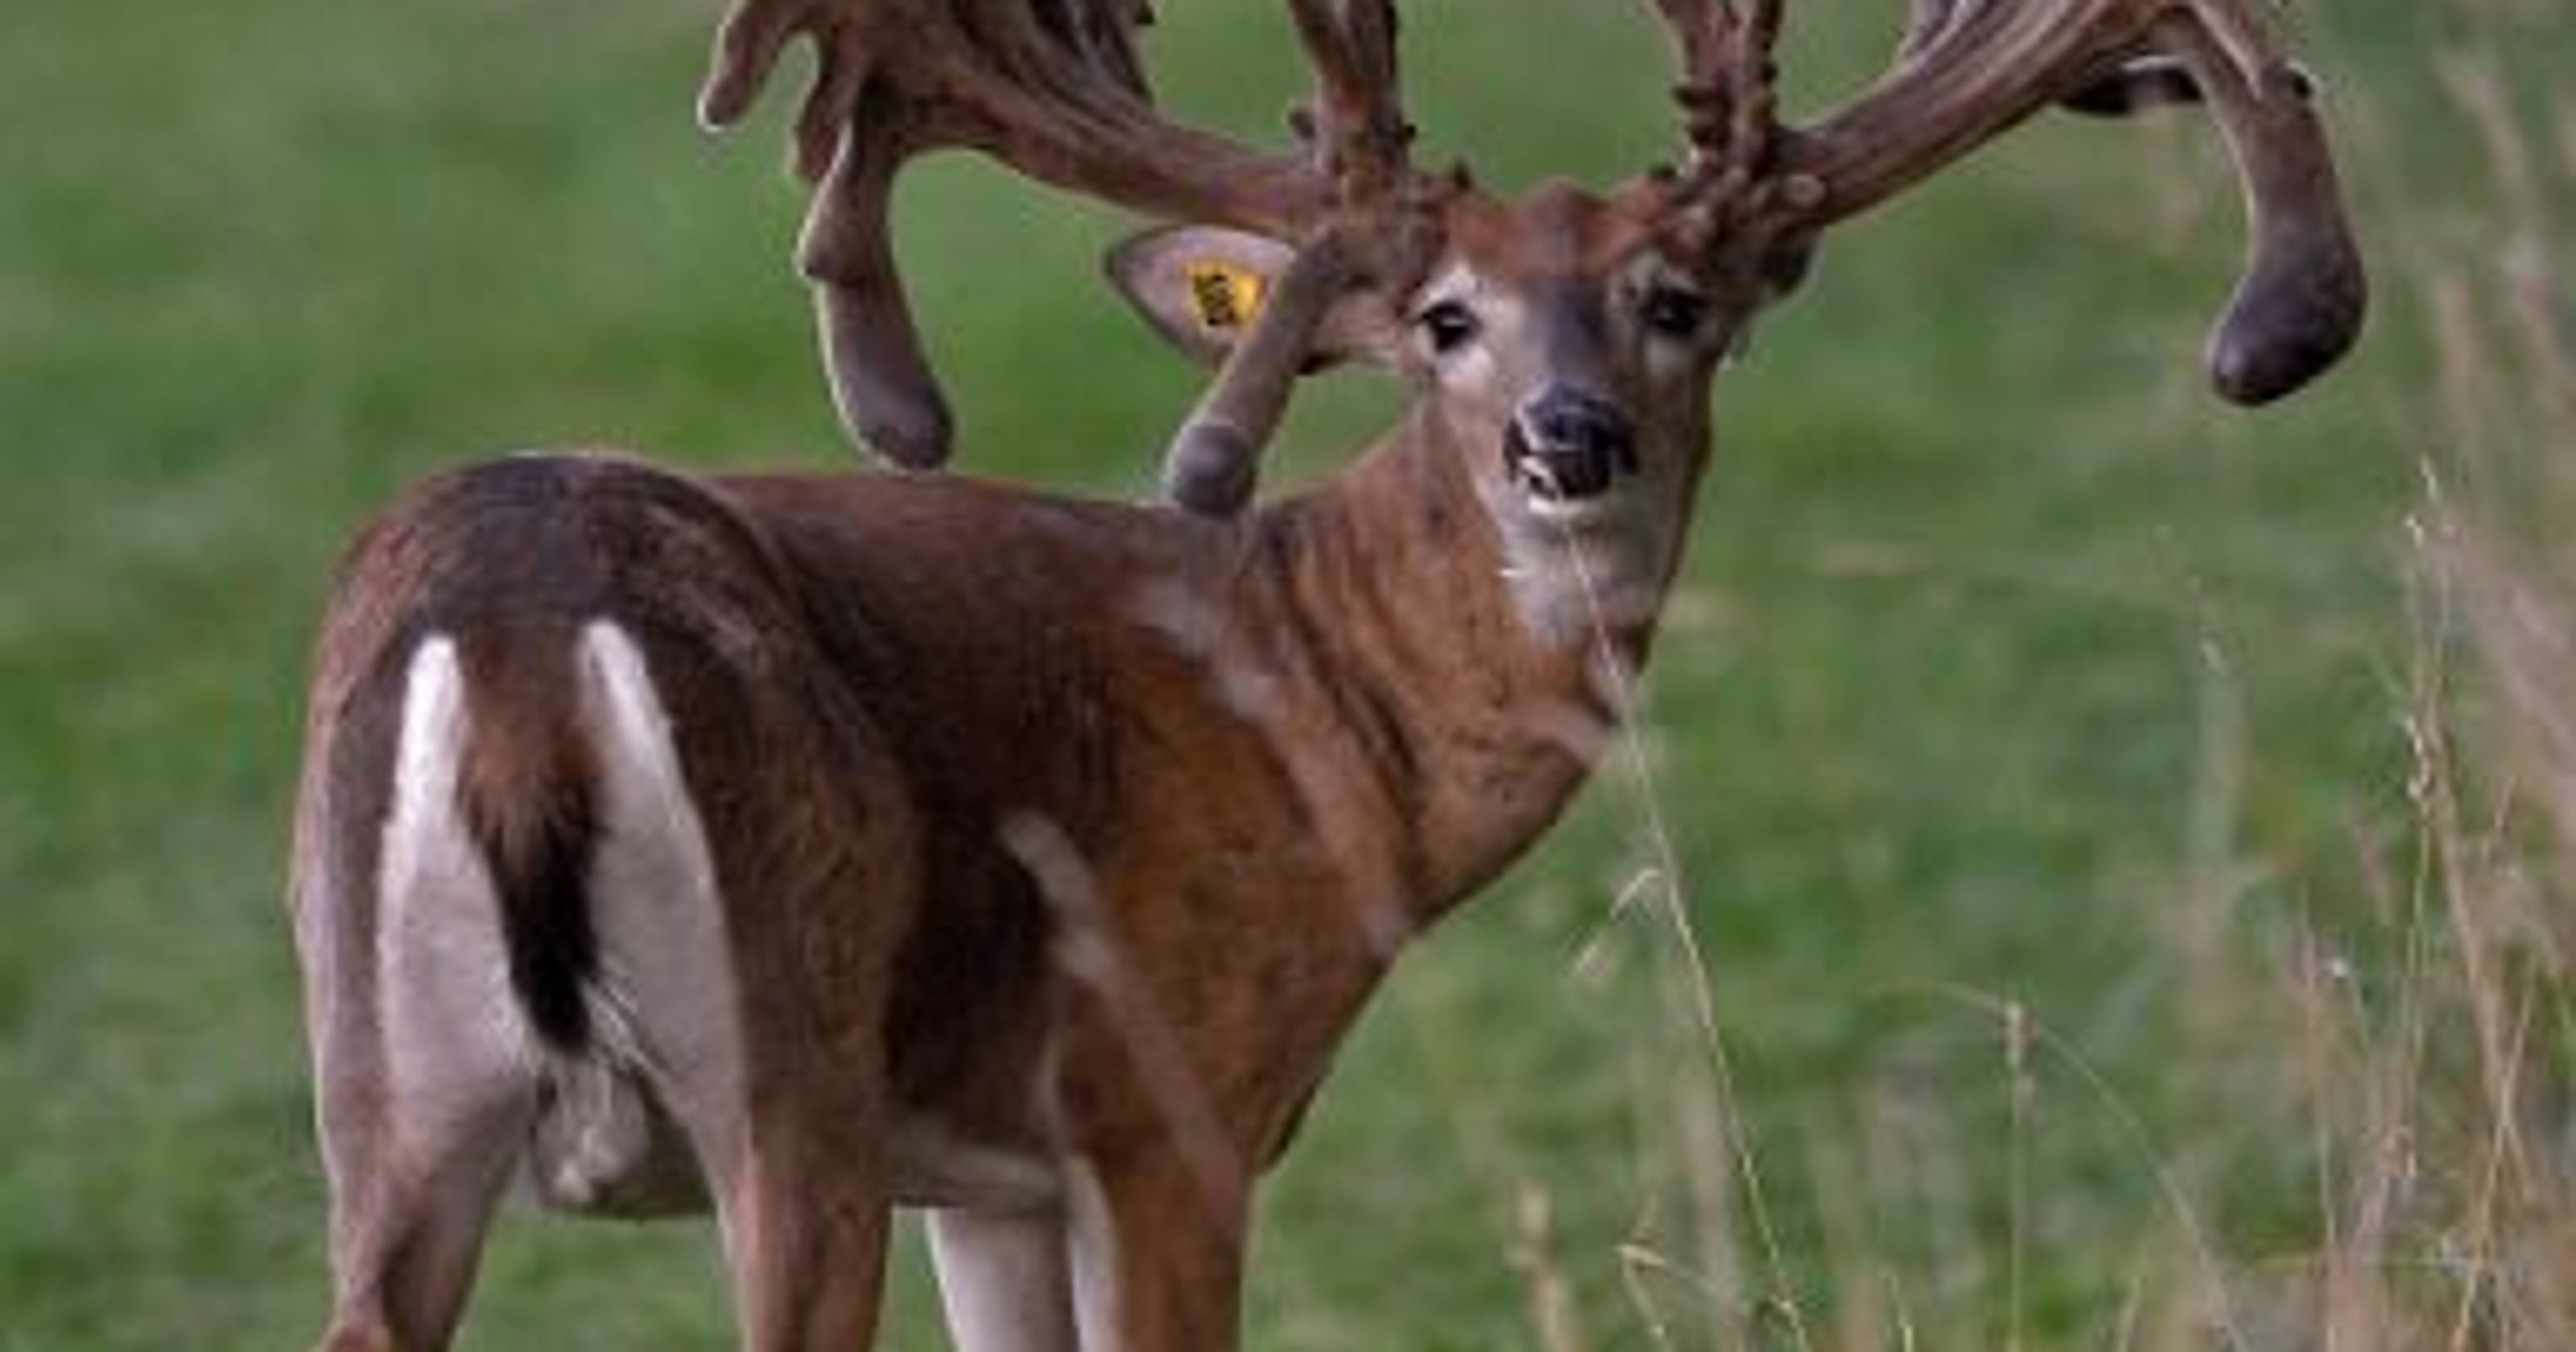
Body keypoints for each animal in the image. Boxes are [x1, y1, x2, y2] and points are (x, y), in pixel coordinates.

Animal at [287, 2, 2364, 1350]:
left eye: (1676, 303)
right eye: (1442, 320)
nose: (1566, 438)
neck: (1314, 701)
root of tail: (525, 632)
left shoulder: (982, 1167)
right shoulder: (1169, 1094)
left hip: (385, 1095)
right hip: (783, 1063)